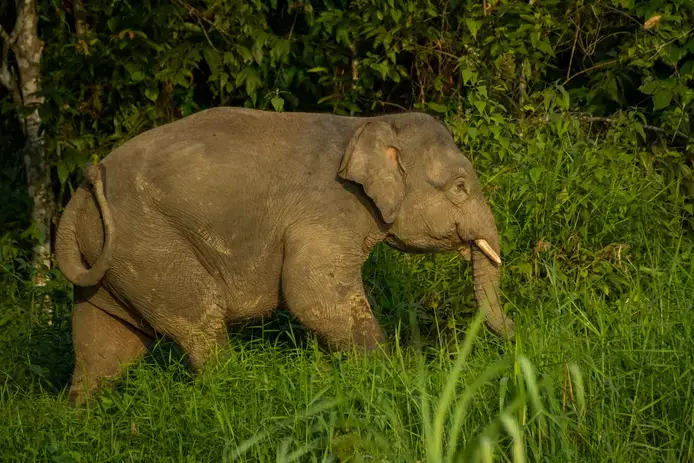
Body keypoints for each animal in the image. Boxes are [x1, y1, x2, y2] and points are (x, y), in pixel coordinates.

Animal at [55, 107, 516, 404]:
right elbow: (314, 296)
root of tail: (78, 198)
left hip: (113, 263)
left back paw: (80, 416)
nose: (517, 335)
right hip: (149, 245)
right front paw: (392, 371)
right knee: (199, 319)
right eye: (460, 187)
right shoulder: (326, 210)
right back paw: (232, 390)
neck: (368, 124)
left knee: (105, 346)